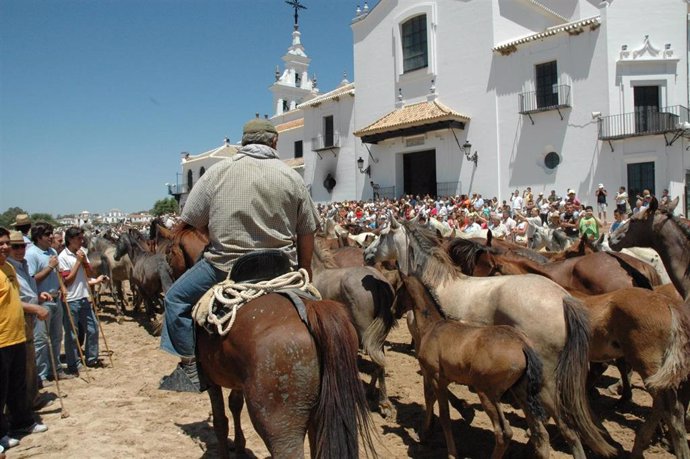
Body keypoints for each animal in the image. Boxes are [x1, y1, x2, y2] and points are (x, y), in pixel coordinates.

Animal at [396, 274, 544, 458]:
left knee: (503, 432)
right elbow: (429, 398)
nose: (394, 310)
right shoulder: (439, 378)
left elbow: (444, 415)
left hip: (486, 392)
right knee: (536, 432)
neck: (432, 326)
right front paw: (424, 435)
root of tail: (522, 345)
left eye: (399, 290)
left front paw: (451, 452)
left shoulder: (437, 378)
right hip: (519, 392)